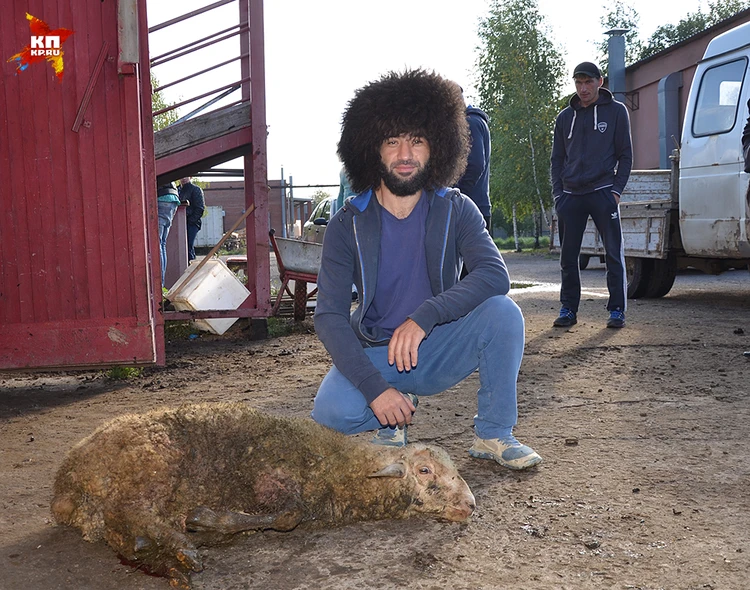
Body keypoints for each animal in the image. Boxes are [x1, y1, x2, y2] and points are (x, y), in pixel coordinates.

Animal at [51, 404, 476, 588]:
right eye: (425, 471)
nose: (471, 505)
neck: (337, 469)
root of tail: (66, 484)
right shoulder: (270, 473)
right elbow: (288, 516)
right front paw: (204, 522)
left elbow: (288, 515)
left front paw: (209, 529)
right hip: (149, 464)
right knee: (130, 513)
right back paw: (179, 548)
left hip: (118, 496)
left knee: (121, 532)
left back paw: (164, 559)